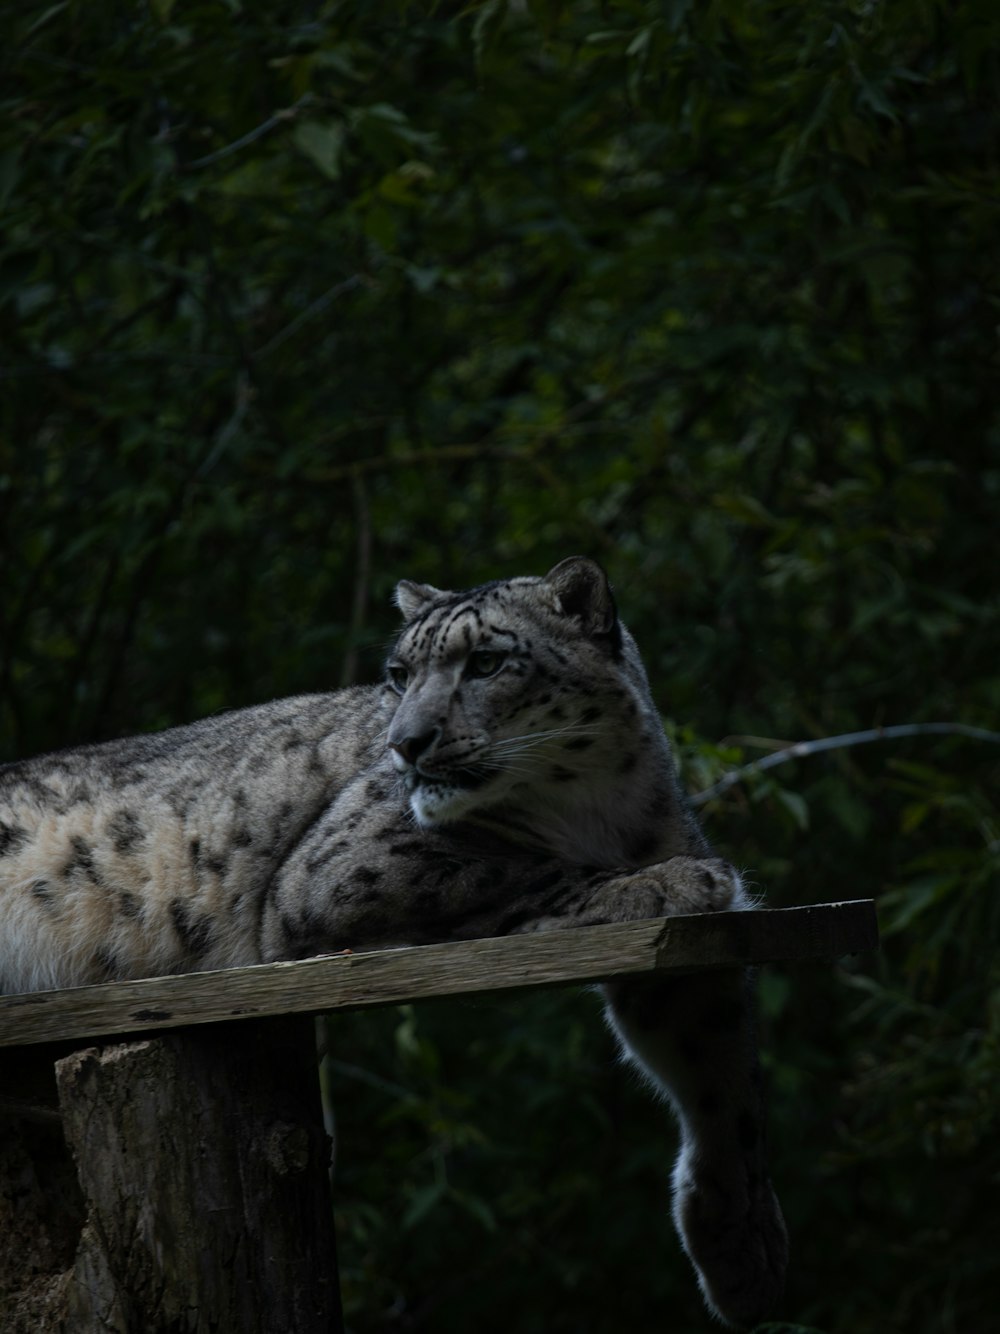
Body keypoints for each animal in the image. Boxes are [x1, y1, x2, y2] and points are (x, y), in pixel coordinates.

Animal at [0, 557, 789, 1328]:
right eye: (398, 673)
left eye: (486, 662)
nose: (405, 743)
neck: (597, 808)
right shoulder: (346, 868)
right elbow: (523, 869)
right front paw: (682, 881)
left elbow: (724, 1080)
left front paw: (742, 1252)